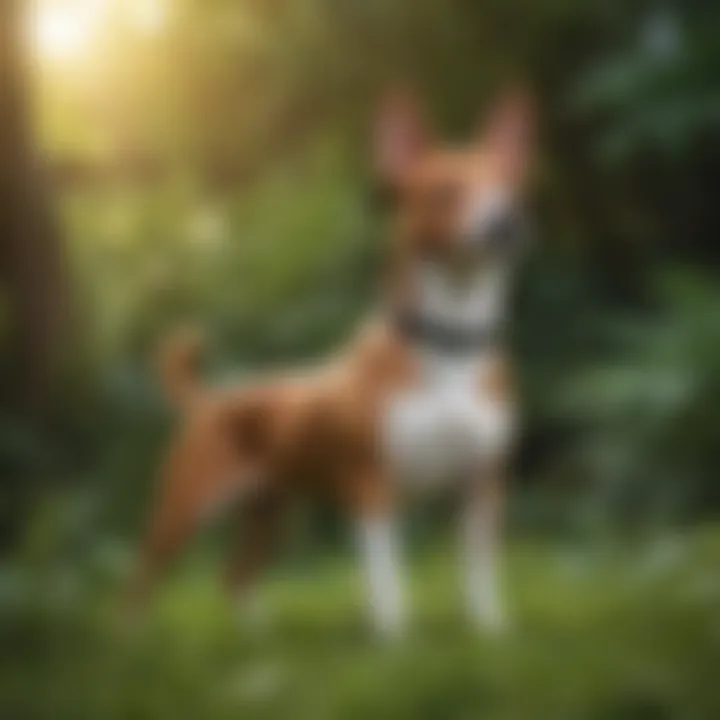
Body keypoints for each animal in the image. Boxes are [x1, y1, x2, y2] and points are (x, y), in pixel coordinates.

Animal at [128, 87, 536, 640]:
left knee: (236, 575)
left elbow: (480, 572)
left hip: (274, 511)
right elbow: (388, 579)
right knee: (142, 581)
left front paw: (492, 632)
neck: (449, 343)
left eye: (512, 188)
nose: (505, 221)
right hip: (182, 511)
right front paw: (395, 642)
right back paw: (132, 641)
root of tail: (208, 400)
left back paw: (257, 636)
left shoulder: (483, 486)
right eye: (445, 190)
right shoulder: (373, 489)